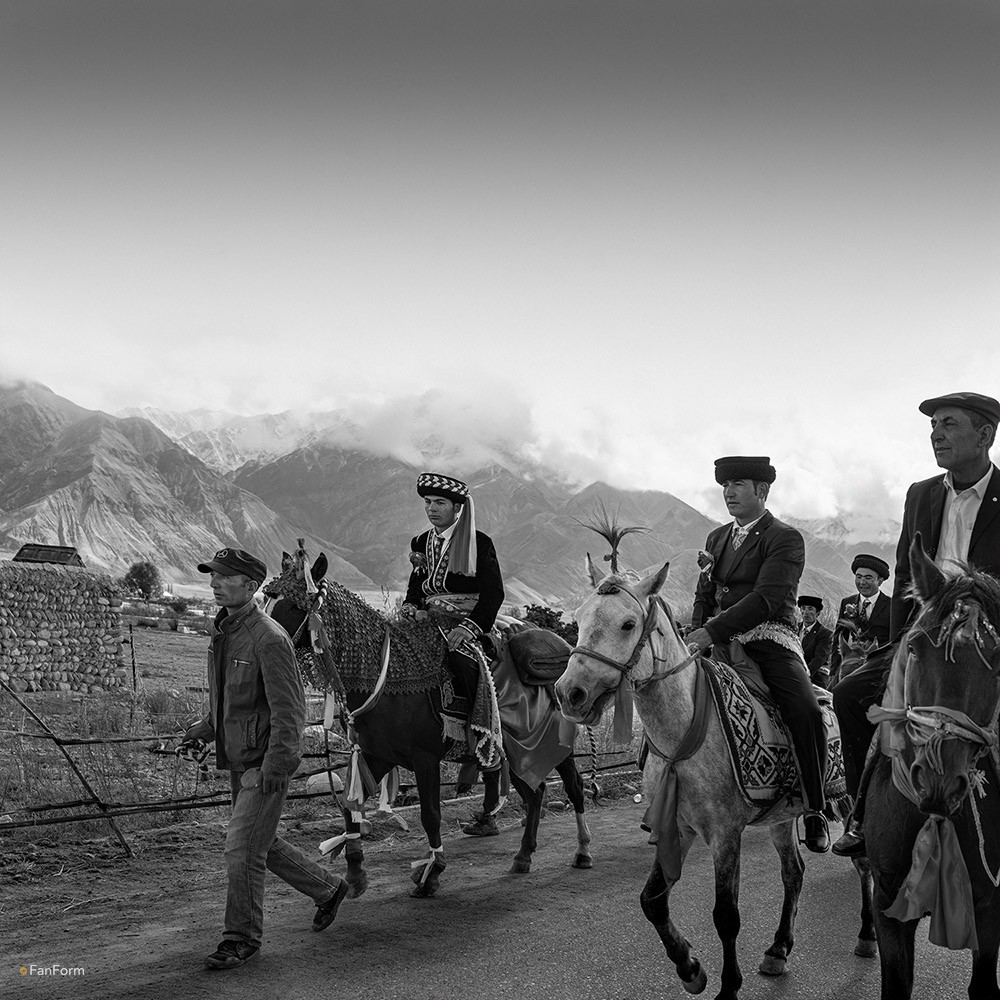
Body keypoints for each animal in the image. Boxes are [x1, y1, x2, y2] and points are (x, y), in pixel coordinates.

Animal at [264, 548, 593, 899]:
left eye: (294, 605)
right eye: (268, 600)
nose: (269, 640)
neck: (389, 680)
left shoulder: (425, 759)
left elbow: (431, 815)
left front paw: (431, 874)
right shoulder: (378, 756)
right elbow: (350, 809)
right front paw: (354, 875)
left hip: (552, 744)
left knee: (573, 787)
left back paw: (582, 851)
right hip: (515, 753)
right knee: (536, 792)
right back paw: (523, 855)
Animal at [555, 557, 872, 1000]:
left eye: (628, 624)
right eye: (580, 618)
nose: (570, 694)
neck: (686, 727)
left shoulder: (725, 833)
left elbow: (726, 915)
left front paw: (726, 986)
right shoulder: (677, 825)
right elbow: (652, 900)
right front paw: (689, 968)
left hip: (849, 801)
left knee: (864, 863)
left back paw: (867, 936)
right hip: (780, 818)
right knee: (794, 874)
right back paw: (778, 950)